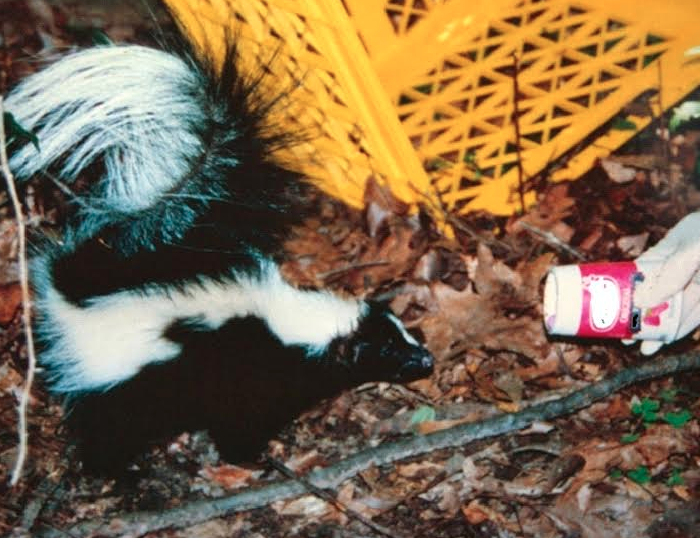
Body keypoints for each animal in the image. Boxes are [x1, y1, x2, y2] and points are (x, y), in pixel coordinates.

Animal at [4, 38, 432, 468]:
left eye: (404, 333)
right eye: (387, 351)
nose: (426, 359)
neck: (292, 321)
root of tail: (76, 282)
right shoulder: (246, 377)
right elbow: (239, 426)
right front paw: (253, 460)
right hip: (117, 371)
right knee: (106, 427)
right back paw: (119, 469)